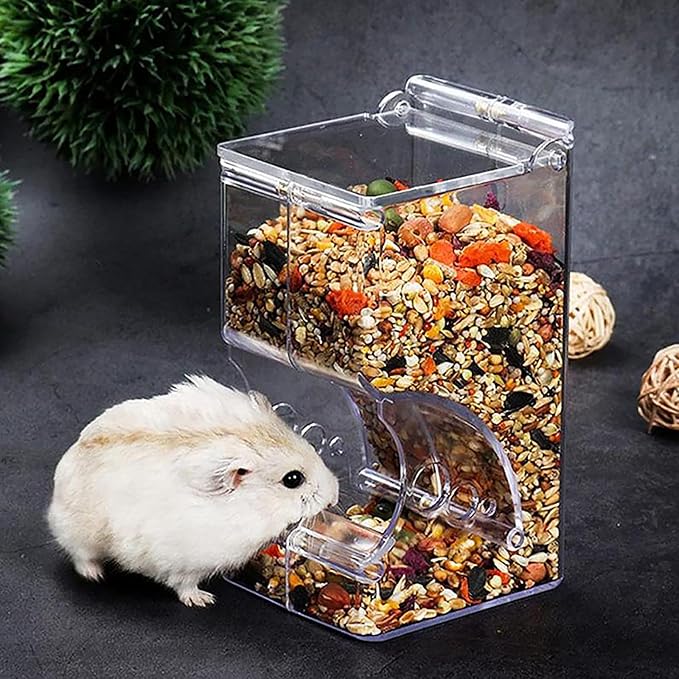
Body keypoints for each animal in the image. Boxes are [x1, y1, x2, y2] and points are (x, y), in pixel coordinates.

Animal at [47, 375, 339, 607]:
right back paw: (94, 575)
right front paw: (204, 600)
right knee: (78, 554)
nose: (334, 496)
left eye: (312, 447)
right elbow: (184, 584)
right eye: (293, 479)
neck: (251, 507)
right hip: (78, 532)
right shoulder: (185, 562)